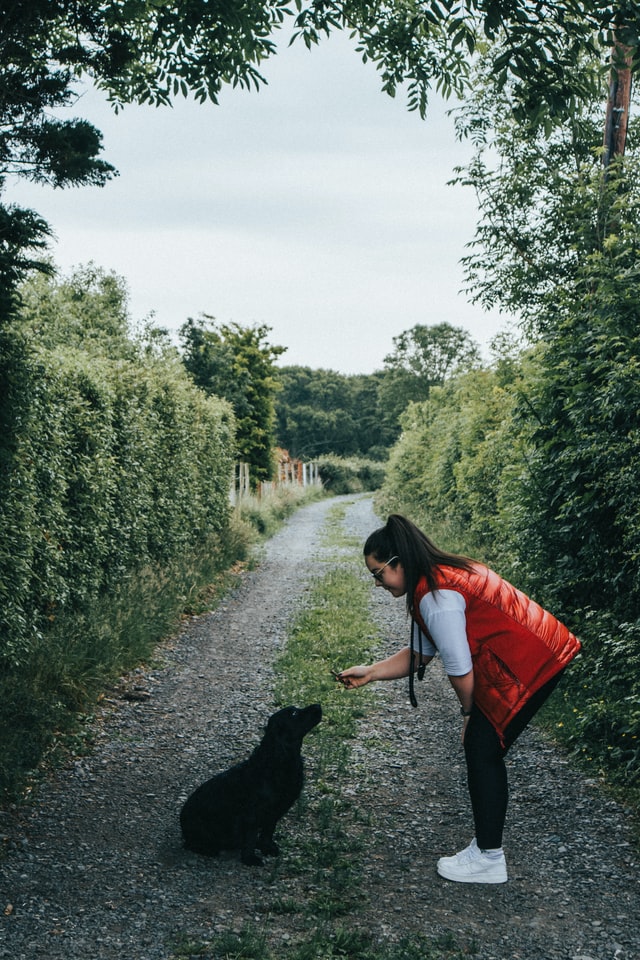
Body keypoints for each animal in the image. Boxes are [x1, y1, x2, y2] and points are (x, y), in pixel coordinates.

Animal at [179, 700, 320, 868]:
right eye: (293, 713)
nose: (318, 706)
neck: (278, 762)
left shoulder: (274, 813)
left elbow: (267, 832)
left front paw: (267, 848)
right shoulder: (253, 815)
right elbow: (251, 839)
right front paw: (250, 859)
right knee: (193, 844)